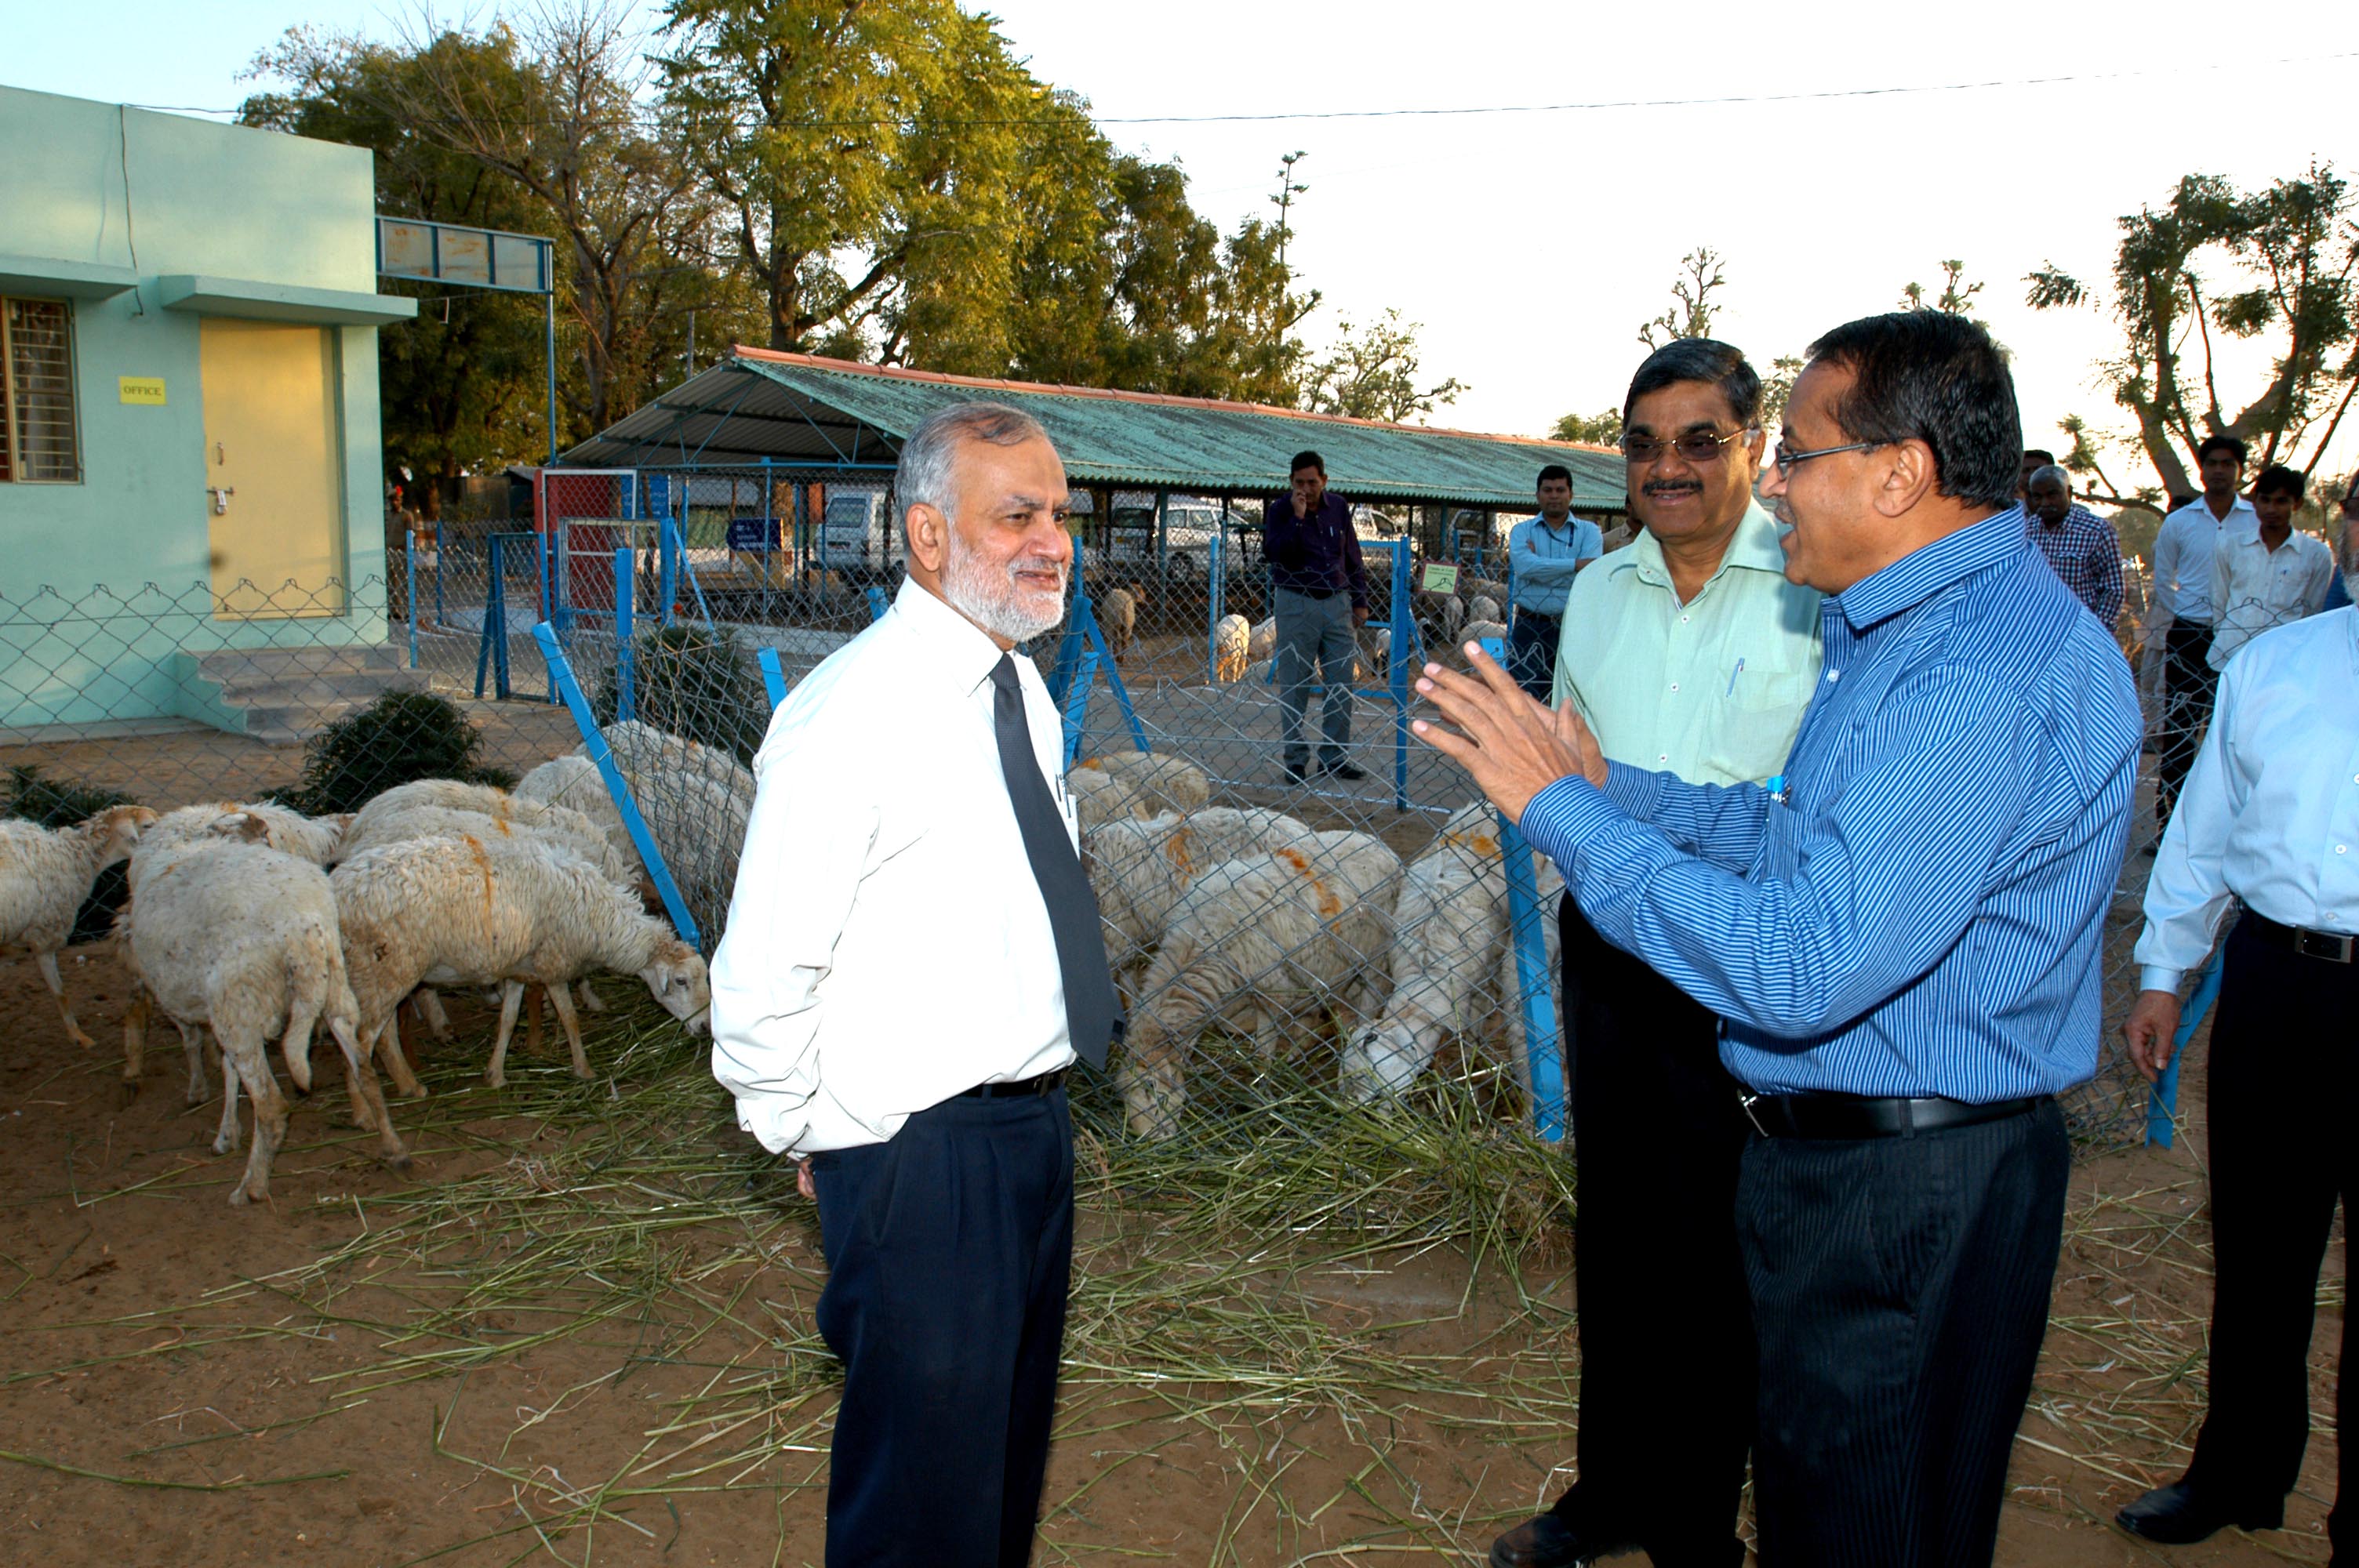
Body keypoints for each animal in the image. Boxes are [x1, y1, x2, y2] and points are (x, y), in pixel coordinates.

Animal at [124, 825, 408, 1202]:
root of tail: (302, 929)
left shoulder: (192, 1003)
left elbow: (194, 1044)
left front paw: (201, 1097)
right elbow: (227, 1068)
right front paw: (226, 1134)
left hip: (240, 998)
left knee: (272, 1107)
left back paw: (251, 1187)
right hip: (329, 991)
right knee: (365, 1070)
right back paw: (395, 1148)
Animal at [1108, 829, 1396, 1136]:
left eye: (1151, 1088)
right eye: (1124, 1095)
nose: (1150, 1139)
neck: (1200, 943)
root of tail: (1381, 846)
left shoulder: (1270, 988)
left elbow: (1263, 1049)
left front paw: (1263, 1092)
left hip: (1375, 955)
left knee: (1372, 999)